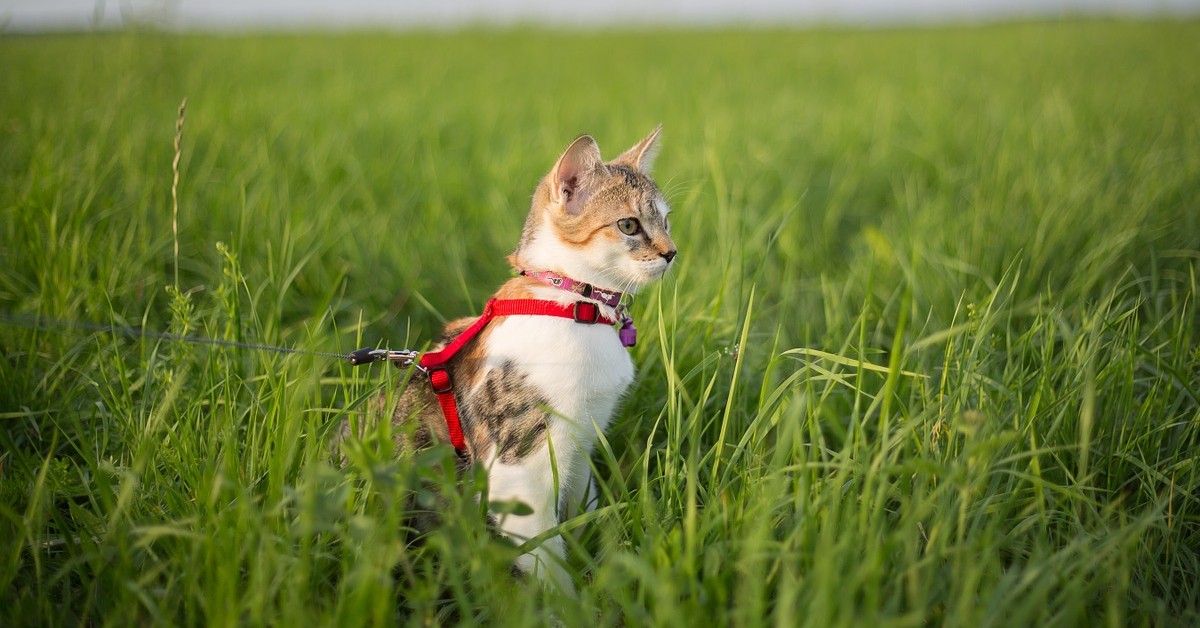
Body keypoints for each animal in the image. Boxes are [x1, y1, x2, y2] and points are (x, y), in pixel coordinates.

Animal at [343, 126, 676, 595]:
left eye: (665, 221)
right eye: (629, 225)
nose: (671, 252)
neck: (572, 303)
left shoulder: (582, 442)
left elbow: (580, 509)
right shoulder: (518, 467)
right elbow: (545, 554)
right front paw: (567, 603)